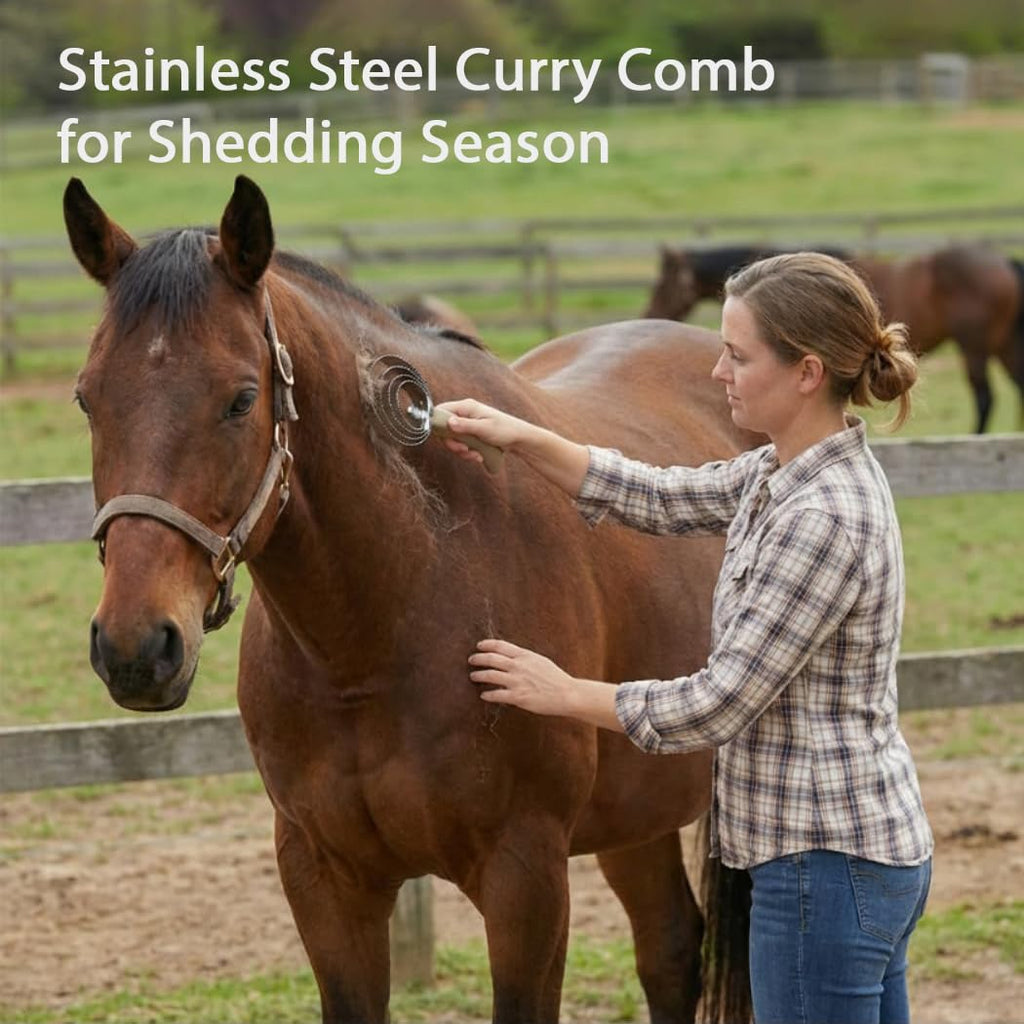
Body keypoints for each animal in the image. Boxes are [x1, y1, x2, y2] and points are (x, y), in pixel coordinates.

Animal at [65, 175, 759, 1024]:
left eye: (240, 400)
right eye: (88, 398)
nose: (135, 647)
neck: (383, 629)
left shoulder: (527, 880)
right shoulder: (325, 879)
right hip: (636, 813)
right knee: (669, 948)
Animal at [645, 243, 1024, 433]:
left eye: (663, 284)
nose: (648, 312)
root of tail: (1003, 261)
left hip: (975, 347)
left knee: (984, 397)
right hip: (1003, 345)